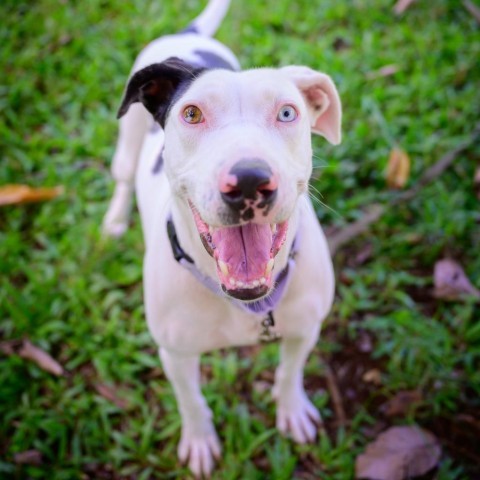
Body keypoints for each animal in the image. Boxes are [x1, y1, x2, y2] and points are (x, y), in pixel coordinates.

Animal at [103, 0, 340, 474]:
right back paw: (116, 220)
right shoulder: (174, 354)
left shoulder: (306, 329)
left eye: (288, 113)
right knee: (122, 175)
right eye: (192, 113)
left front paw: (291, 410)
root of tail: (189, 35)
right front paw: (199, 441)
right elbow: (190, 400)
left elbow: (289, 372)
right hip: (127, 139)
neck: (246, 303)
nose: (249, 180)